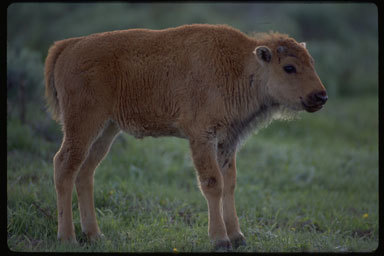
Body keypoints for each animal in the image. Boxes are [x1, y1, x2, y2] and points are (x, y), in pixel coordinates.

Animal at [45, 24, 328, 250]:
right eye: (289, 67)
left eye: (312, 63)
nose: (321, 96)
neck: (239, 66)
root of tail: (68, 46)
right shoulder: (202, 137)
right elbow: (213, 183)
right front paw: (220, 239)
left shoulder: (227, 142)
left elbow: (230, 184)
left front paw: (238, 237)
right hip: (83, 125)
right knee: (64, 165)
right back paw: (67, 238)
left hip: (106, 131)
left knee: (85, 172)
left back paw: (94, 235)